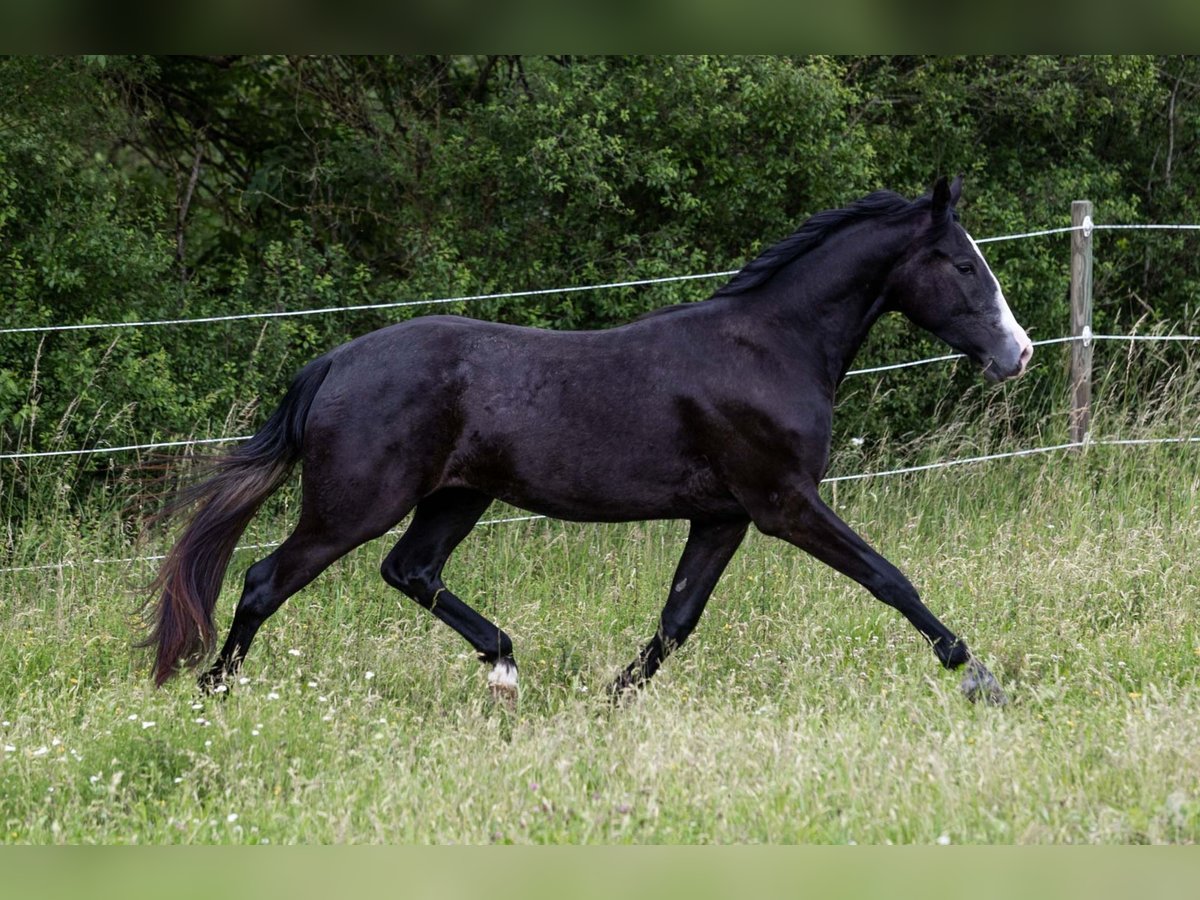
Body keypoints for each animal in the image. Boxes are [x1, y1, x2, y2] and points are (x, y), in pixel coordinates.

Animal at [144, 175, 1032, 706]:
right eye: (960, 264)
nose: (1017, 354)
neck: (768, 348)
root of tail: (333, 361)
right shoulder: (783, 503)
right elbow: (891, 579)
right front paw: (979, 678)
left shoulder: (724, 516)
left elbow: (677, 620)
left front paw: (611, 700)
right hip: (354, 504)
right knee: (264, 580)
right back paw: (211, 695)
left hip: (456, 497)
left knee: (410, 570)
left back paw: (504, 664)